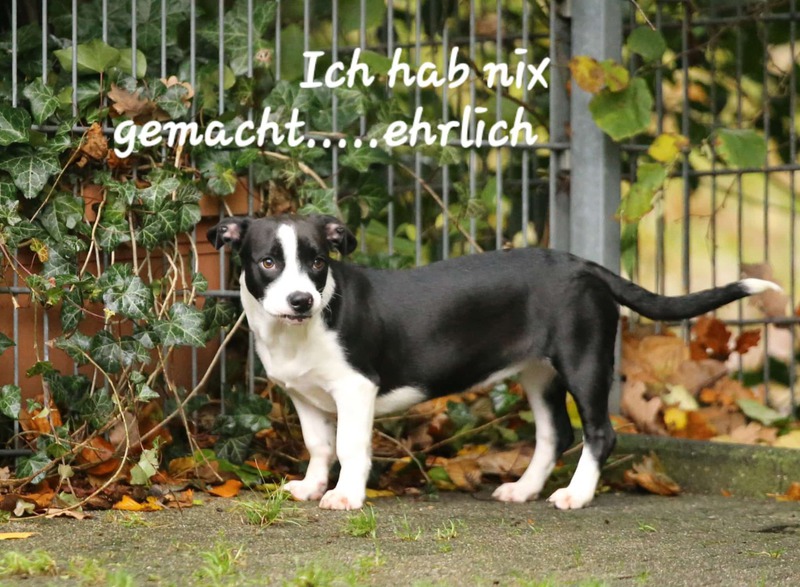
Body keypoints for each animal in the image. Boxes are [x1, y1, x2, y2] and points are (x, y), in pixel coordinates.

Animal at [207, 213, 780, 510]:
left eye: (318, 263)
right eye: (268, 262)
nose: (301, 300)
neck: (298, 333)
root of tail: (586, 266)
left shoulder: (356, 389)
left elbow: (350, 446)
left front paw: (346, 496)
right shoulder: (304, 396)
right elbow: (319, 445)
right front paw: (310, 487)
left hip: (583, 358)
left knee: (599, 432)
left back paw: (575, 495)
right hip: (538, 372)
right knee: (555, 434)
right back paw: (524, 489)